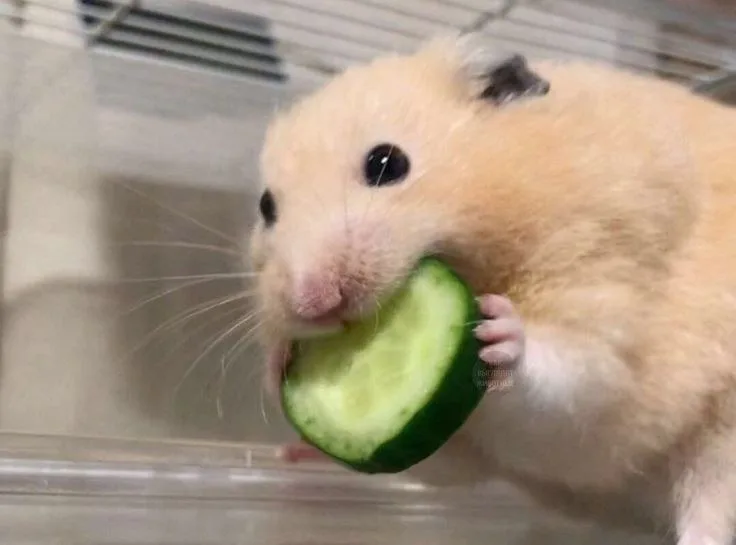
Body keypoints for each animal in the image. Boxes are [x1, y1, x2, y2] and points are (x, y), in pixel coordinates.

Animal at [248, 33, 736, 545]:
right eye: (266, 206)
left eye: (386, 163)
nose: (313, 302)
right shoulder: (455, 442)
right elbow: (439, 466)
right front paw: (278, 369)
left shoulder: (603, 282)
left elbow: (574, 375)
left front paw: (498, 330)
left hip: (723, 437)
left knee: (710, 507)